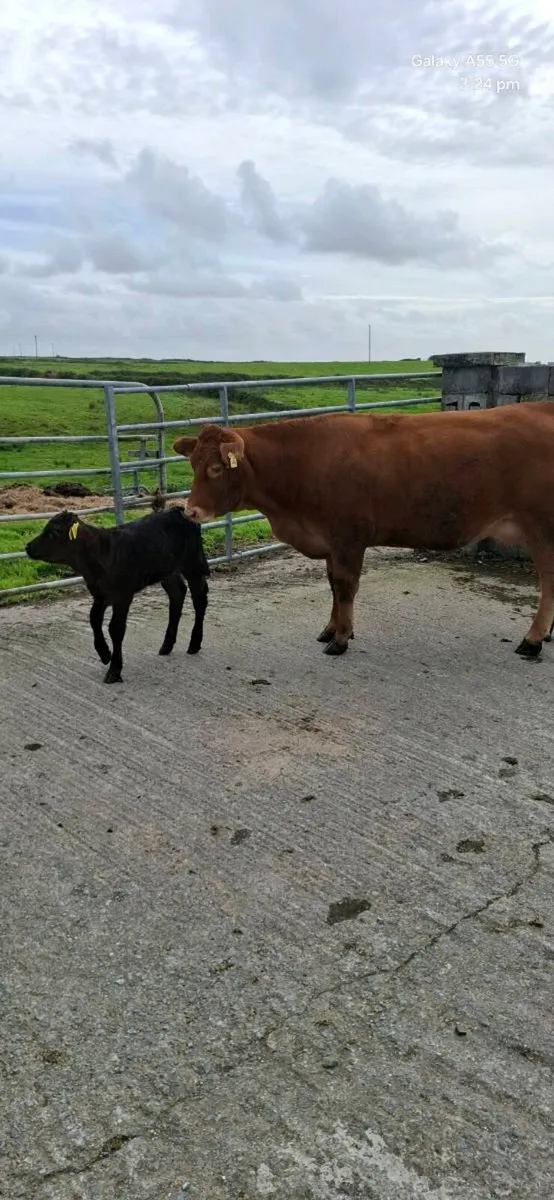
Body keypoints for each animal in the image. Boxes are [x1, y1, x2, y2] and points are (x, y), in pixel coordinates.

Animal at [173, 402, 554, 659]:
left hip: (542, 528)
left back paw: (533, 640)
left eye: (217, 467)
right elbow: (332, 585)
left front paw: (341, 639)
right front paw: (331, 629)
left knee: (548, 582)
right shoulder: (330, 541)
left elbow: (345, 587)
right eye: (192, 463)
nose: (191, 511)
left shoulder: (348, 539)